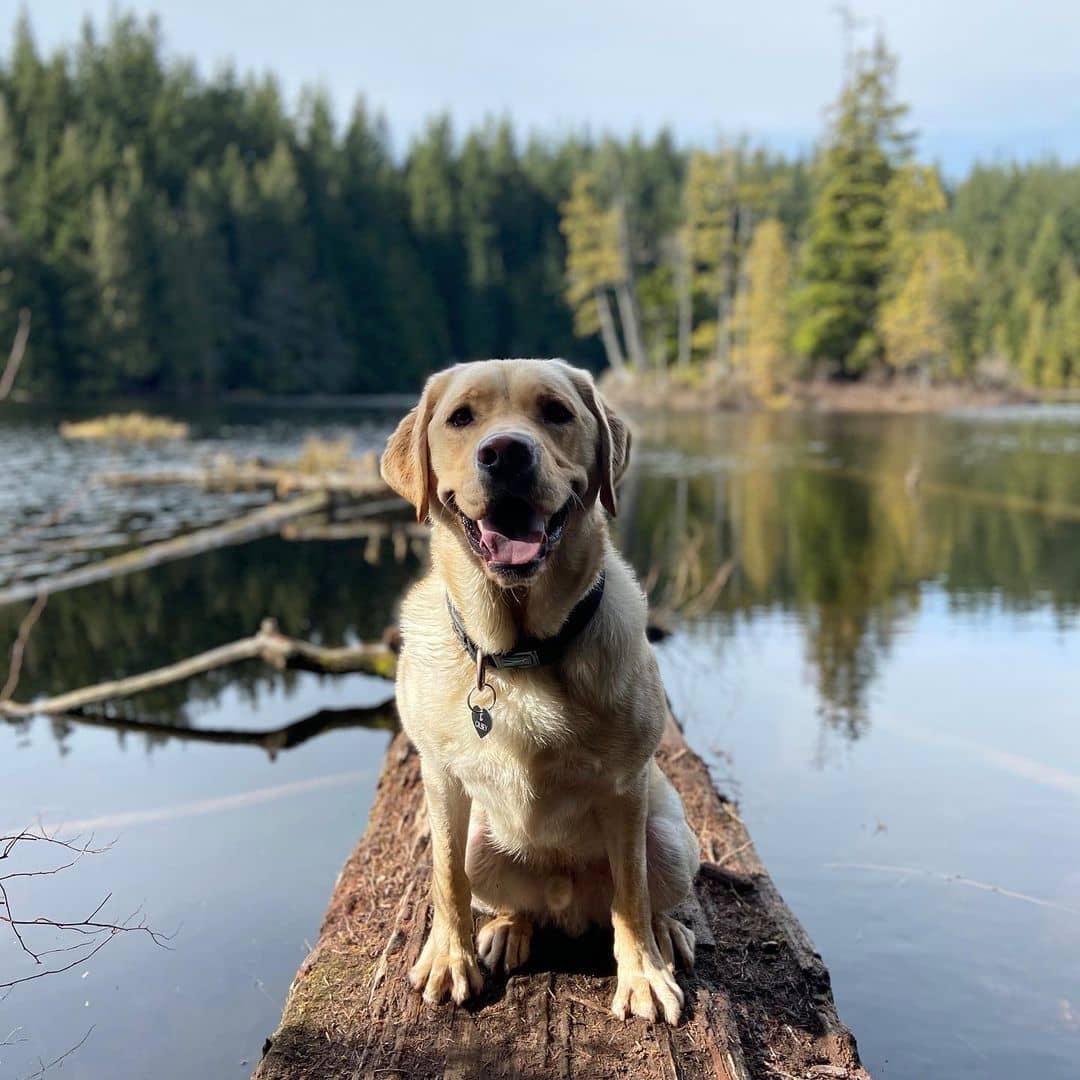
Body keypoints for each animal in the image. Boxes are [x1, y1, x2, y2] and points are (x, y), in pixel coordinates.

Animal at [380, 358, 699, 1023]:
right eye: (460, 418)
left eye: (556, 411)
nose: (505, 453)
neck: (519, 653)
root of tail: (567, 905)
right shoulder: (440, 779)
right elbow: (445, 879)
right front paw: (450, 958)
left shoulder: (626, 788)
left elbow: (632, 894)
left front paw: (643, 973)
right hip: (484, 845)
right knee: (507, 898)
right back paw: (508, 928)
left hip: (670, 840)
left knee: (644, 895)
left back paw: (667, 934)